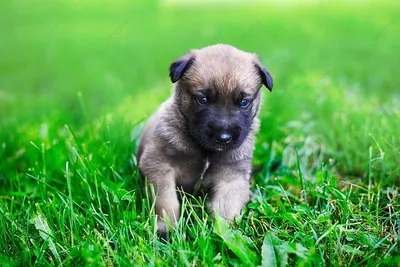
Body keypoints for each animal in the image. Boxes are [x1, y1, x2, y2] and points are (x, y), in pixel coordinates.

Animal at [137, 44, 272, 232]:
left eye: (244, 102)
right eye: (202, 99)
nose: (223, 137)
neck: (206, 151)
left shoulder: (231, 178)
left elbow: (226, 208)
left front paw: (224, 233)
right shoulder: (159, 166)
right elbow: (166, 202)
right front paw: (167, 227)